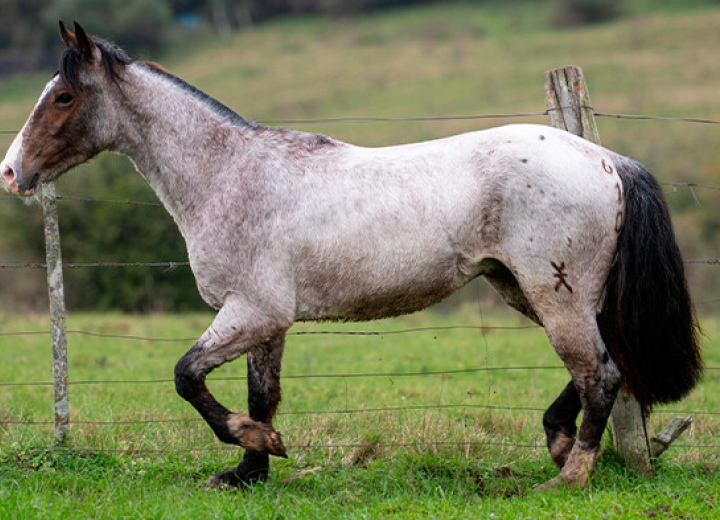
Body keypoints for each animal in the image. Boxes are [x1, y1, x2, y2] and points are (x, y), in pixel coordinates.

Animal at [1, 22, 704, 490]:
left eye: (63, 97)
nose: (11, 172)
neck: (230, 175)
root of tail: (605, 160)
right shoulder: (266, 320)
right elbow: (260, 392)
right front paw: (250, 469)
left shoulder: (251, 311)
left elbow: (186, 376)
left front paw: (258, 446)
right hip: (525, 288)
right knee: (602, 367)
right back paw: (557, 442)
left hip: (555, 293)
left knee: (601, 374)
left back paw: (571, 474)